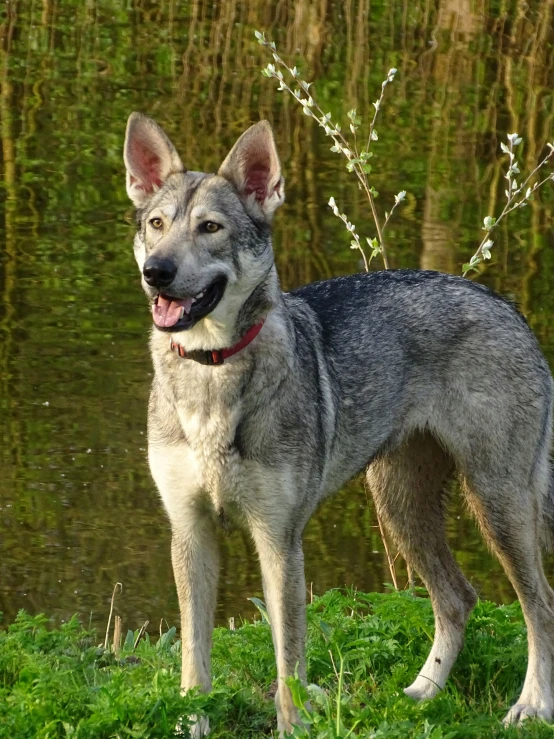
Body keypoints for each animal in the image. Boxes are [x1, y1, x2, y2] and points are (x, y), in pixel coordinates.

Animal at [123, 112, 552, 736]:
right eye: (156, 225)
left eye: (210, 228)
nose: (157, 272)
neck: (213, 373)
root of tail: (508, 306)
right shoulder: (190, 533)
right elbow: (193, 662)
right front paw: (192, 723)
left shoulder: (279, 540)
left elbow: (288, 663)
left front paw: (291, 726)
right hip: (401, 509)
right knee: (459, 598)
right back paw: (422, 694)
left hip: (497, 505)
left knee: (539, 604)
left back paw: (533, 704)